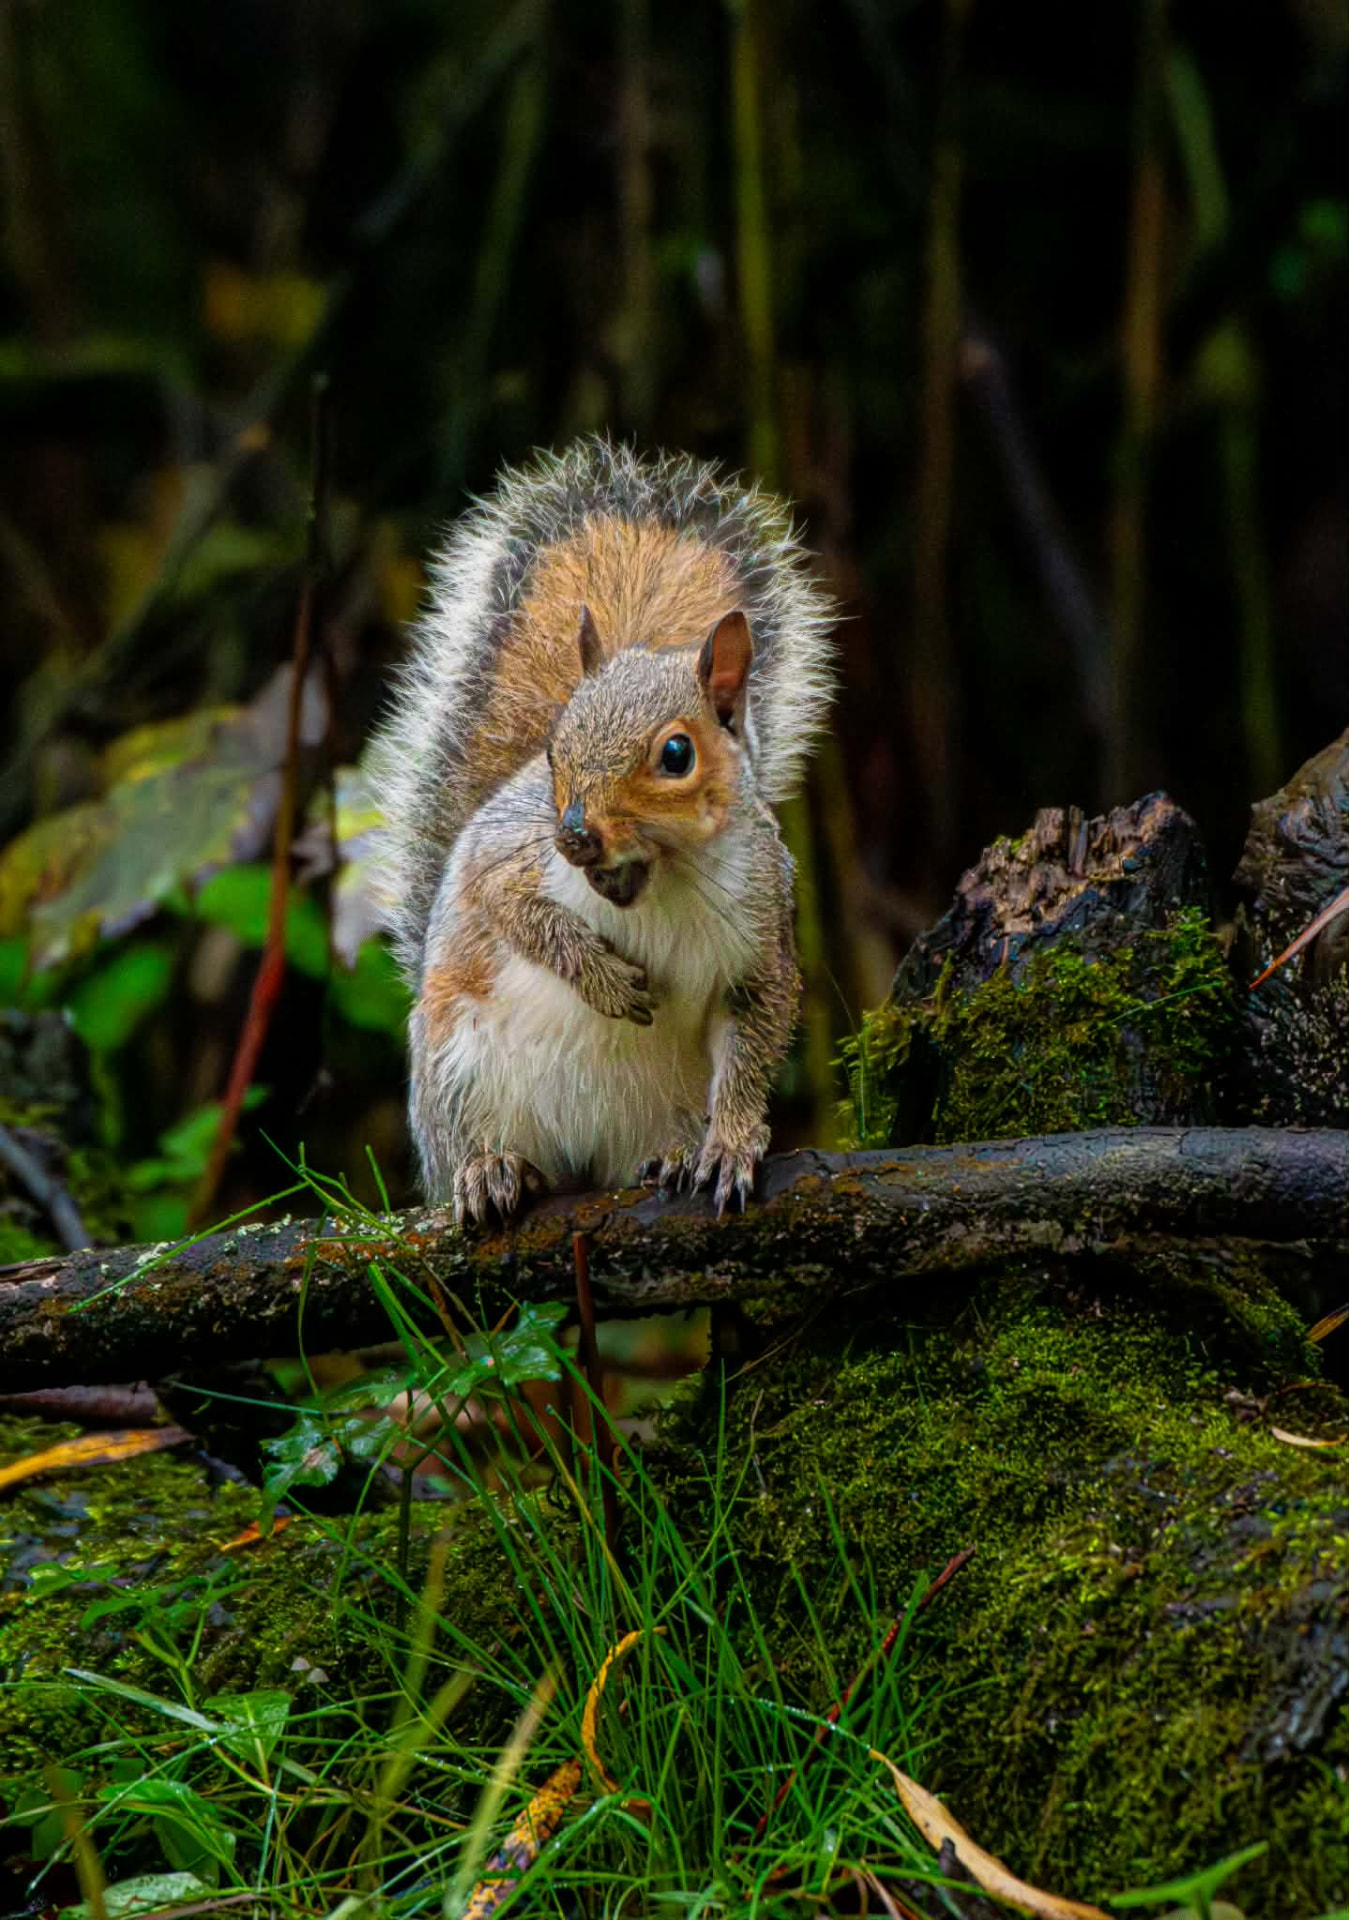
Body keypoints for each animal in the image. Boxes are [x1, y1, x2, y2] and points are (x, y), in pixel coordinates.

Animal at [371, 438, 834, 1227]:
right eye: (554, 751)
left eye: (676, 754)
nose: (576, 836)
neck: (661, 874)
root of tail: (581, 1161)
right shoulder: (510, 860)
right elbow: (514, 909)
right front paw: (604, 980)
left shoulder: (762, 931)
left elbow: (754, 1040)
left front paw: (732, 1145)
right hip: (455, 1068)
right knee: (473, 1139)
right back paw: (489, 1169)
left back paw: (672, 1156)